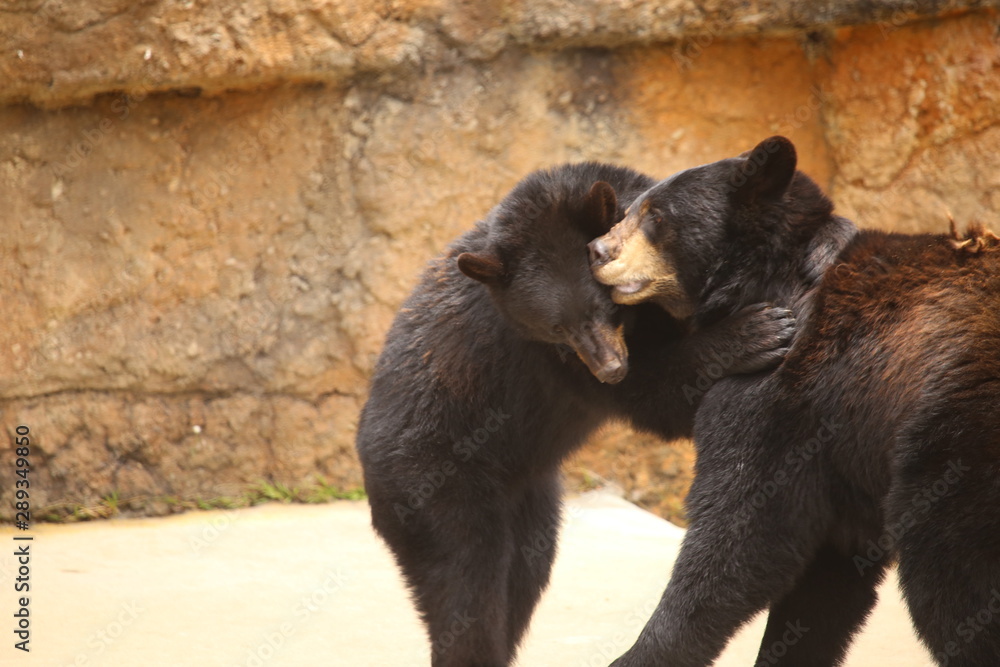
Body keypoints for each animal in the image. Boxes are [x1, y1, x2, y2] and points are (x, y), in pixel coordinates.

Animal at [355, 161, 797, 667]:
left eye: (608, 304)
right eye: (556, 326)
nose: (610, 368)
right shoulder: (547, 358)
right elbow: (656, 394)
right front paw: (755, 333)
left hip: (530, 495)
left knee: (525, 573)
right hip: (432, 481)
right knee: (466, 581)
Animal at [588, 136, 1000, 666]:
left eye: (657, 215)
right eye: (632, 208)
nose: (597, 250)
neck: (766, 281)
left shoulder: (784, 391)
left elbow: (741, 529)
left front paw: (645, 652)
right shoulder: (840, 452)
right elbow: (827, 575)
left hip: (957, 439)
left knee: (951, 577)